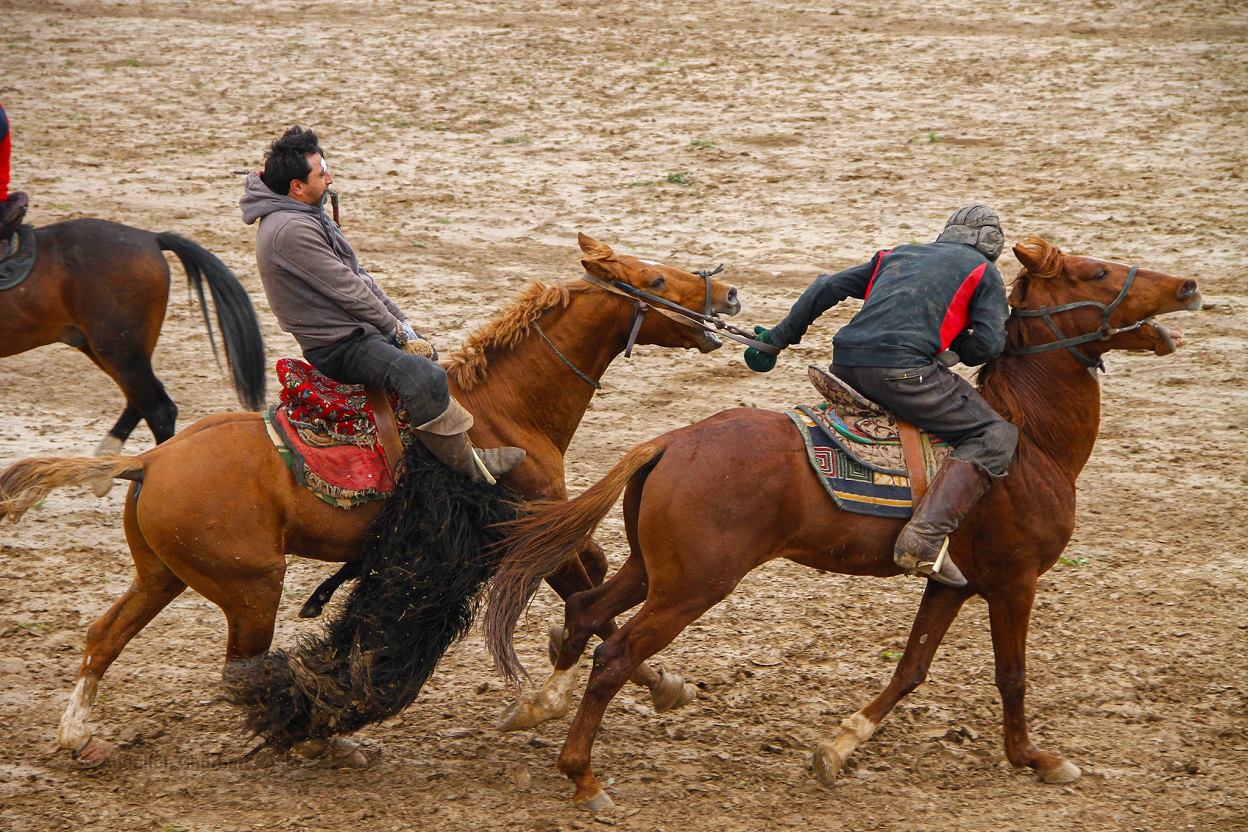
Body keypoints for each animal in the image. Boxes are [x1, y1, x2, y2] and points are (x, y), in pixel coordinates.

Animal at [484, 235, 1198, 813]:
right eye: (1098, 271)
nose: (1188, 286)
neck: (1032, 441)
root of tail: (671, 440)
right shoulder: (1014, 581)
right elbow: (1012, 675)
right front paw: (1035, 759)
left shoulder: (952, 582)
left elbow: (911, 668)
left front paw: (840, 745)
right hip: (693, 586)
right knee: (614, 656)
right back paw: (583, 776)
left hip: (652, 570)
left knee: (583, 610)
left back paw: (539, 706)